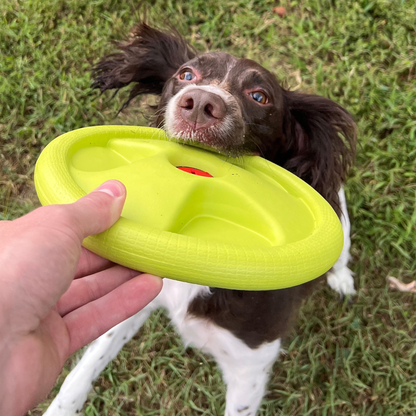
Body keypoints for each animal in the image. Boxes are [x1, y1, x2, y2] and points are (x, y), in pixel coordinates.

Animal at [45, 22, 358, 416]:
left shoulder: (249, 364)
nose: (199, 104)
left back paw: (342, 279)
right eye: (186, 74)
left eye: (259, 96)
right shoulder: (137, 294)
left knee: (342, 255)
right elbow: (87, 364)